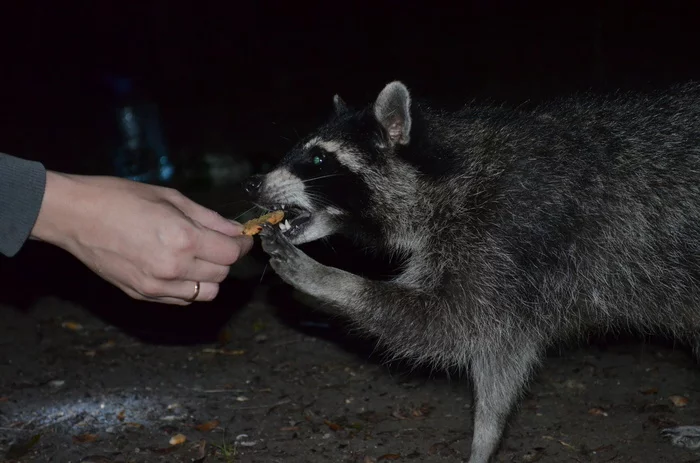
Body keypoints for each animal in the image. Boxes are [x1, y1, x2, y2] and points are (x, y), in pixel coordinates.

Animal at [243, 81, 700, 462]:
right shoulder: (504, 272)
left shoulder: (508, 236)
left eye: (319, 157)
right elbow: (499, 353)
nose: (252, 183)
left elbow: (452, 325)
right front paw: (488, 435)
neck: (446, 178)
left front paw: (328, 281)